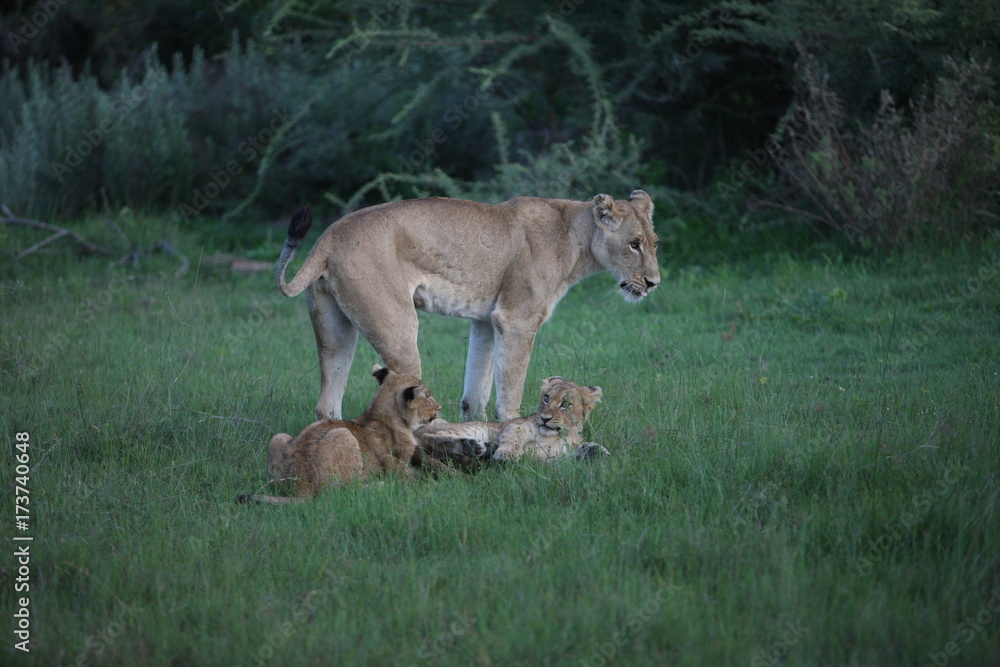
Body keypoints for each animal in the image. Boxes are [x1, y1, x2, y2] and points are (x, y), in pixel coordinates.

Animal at [237, 365, 442, 504]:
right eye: (428, 397)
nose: (440, 407)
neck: (380, 414)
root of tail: (301, 485)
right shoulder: (397, 470)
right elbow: (419, 475)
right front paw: (436, 483)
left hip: (279, 438)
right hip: (343, 435)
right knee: (341, 491)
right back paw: (378, 486)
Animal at [274, 191, 659, 422]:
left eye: (654, 243)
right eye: (634, 244)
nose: (654, 283)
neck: (578, 239)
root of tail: (329, 236)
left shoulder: (487, 321)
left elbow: (477, 389)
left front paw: (480, 430)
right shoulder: (516, 319)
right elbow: (511, 386)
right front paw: (518, 435)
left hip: (336, 330)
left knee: (326, 403)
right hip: (398, 327)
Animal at [414, 377, 608, 466]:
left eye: (565, 404)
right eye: (546, 398)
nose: (545, 418)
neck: (558, 435)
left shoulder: (553, 459)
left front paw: (595, 451)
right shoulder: (515, 424)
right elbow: (514, 434)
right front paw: (507, 453)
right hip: (469, 428)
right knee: (429, 440)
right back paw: (473, 446)